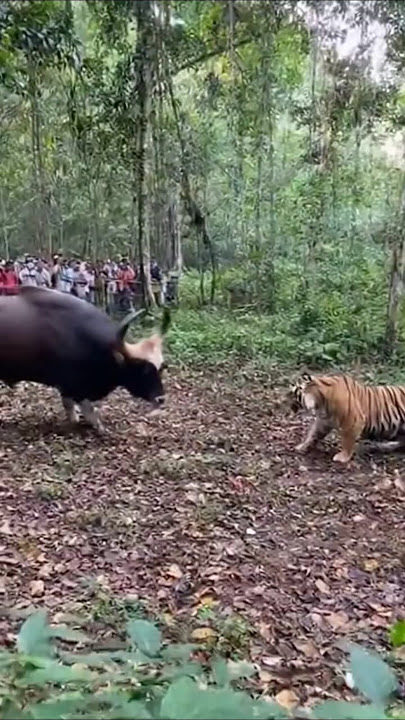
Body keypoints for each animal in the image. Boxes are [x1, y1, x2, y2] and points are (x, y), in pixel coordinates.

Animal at [0, 286, 170, 432]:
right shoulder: (72, 385)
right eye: (143, 369)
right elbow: (86, 408)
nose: (161, 399)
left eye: (161, 366)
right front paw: (99, 427)